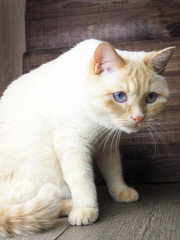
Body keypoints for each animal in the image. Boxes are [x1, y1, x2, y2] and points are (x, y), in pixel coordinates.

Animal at [0, 39, 175, 236]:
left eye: (151, 98)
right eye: (119, 96)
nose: (138, 118)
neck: (99, 120)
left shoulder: (106, 143)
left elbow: (113, 170)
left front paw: (121, 191)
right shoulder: (73, 144)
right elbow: (82, 180)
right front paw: (85, 209)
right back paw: (68, 206)